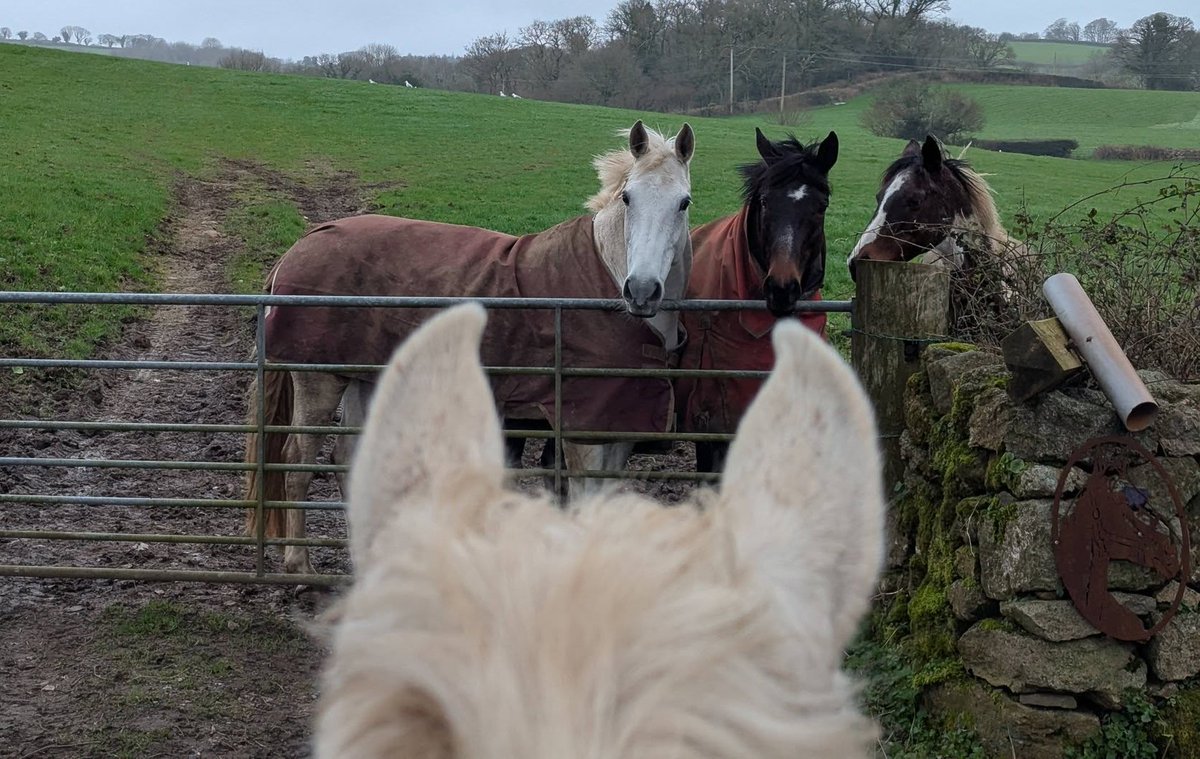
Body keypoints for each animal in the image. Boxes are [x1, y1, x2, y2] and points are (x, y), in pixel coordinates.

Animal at [244, 121, 695, 576]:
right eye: (627, 197)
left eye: (684, 203)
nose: (642, 290)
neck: (604, 279)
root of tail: (300, 246)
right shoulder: (580, 430)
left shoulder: (617, 428)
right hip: (319, 378)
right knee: (296, 459)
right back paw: (300, 566)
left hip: (364, 377)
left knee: (347, 457)